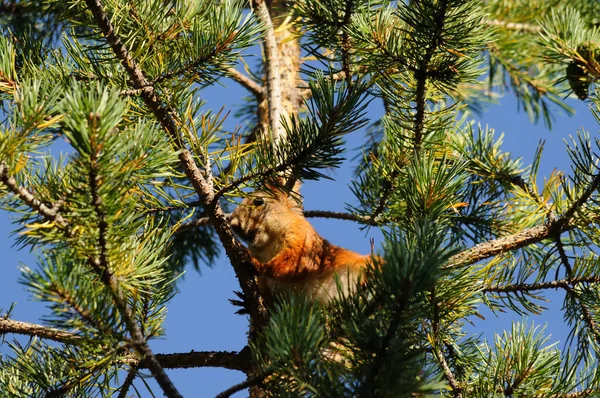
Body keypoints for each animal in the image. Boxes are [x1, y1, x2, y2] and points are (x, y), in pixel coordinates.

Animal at [229, 183, 372, 302]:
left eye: (258, 201)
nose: (234, 225)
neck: (268, 244)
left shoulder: (302, 236)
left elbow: (297, 260)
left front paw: (255, 263)